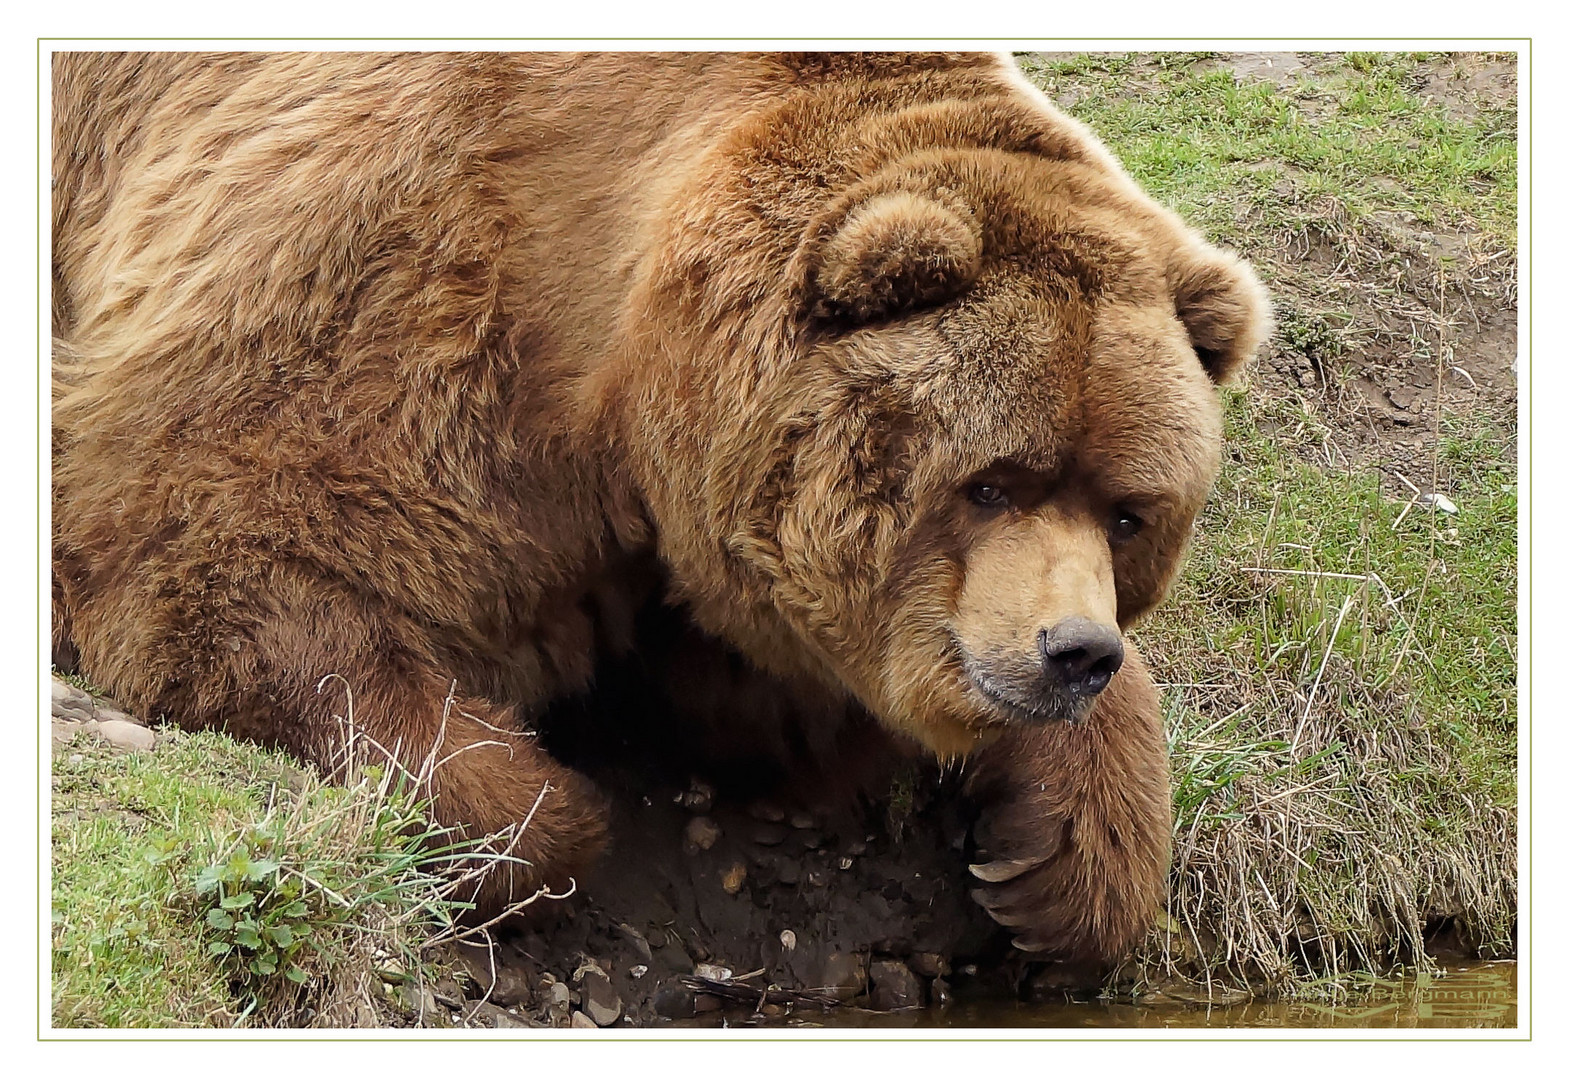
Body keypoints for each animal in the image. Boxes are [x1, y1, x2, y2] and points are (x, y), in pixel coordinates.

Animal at [52, 50, 1274, 966]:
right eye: (990, 480)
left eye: (1127, 511)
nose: (1073, 651)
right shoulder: (405, 280)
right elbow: (232, 555)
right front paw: (533, 801)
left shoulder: (709, 547)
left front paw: (1057, 860)